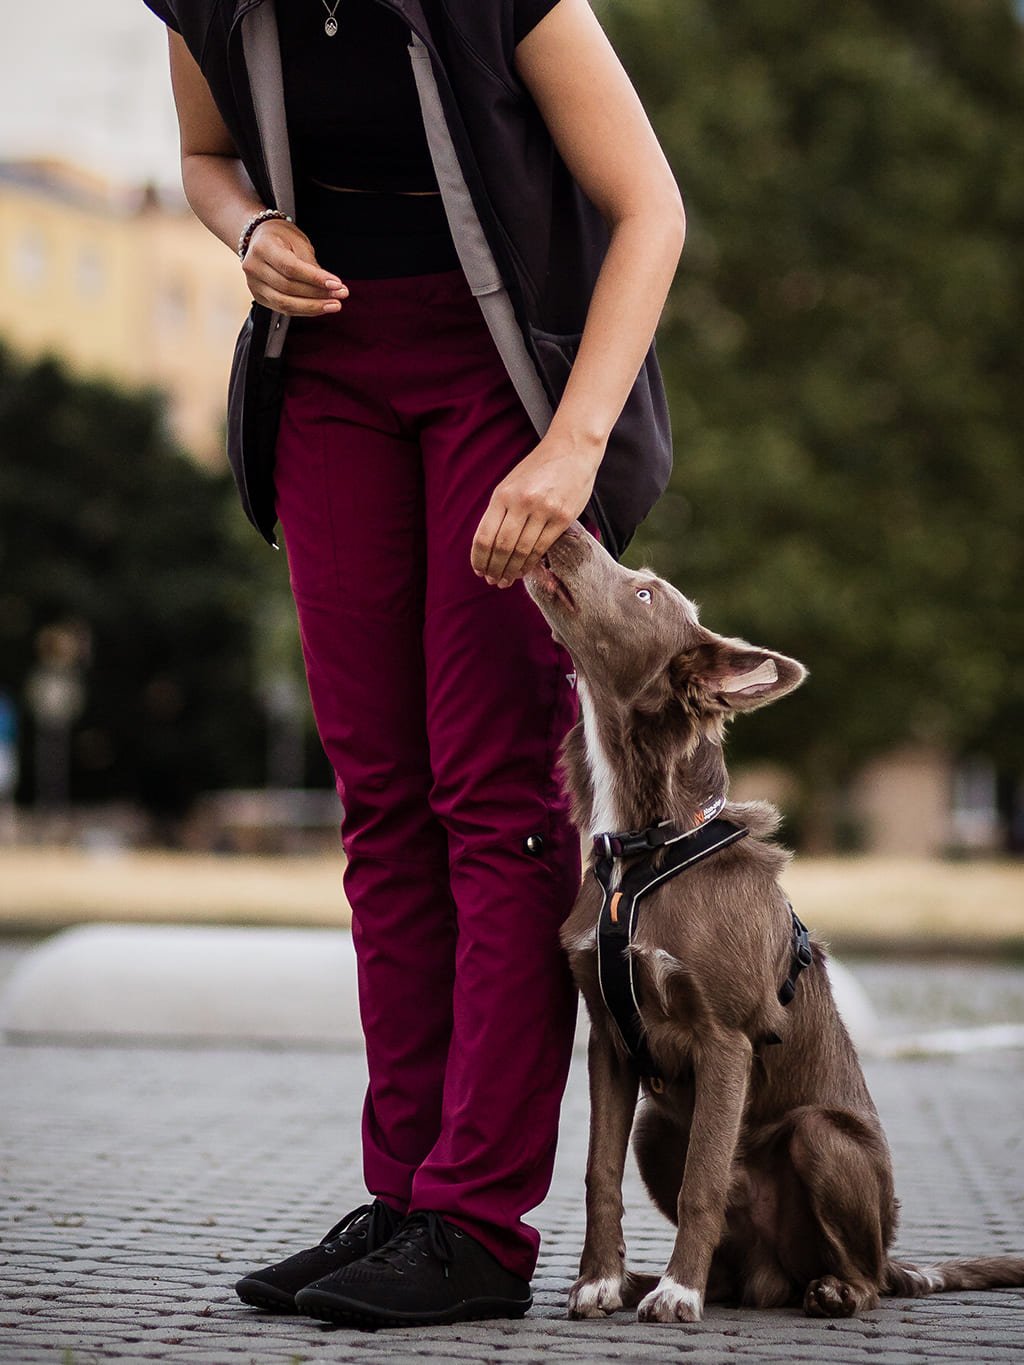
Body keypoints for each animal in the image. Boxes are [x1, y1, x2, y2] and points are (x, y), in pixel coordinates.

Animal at [524, 518, 1021, 1321]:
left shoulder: (725, 1039)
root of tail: (771, 1275)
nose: (566, 526)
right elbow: (600, 1172)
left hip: (822, 1138)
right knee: (731, 1252)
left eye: (644, 592)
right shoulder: (607, 1041)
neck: (645, 847)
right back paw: (662, 1280)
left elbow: (702, 1182)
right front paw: (598, 1280)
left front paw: (677, 1294)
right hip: (658, 1126)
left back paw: (825, 1289)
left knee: (863, 1273)